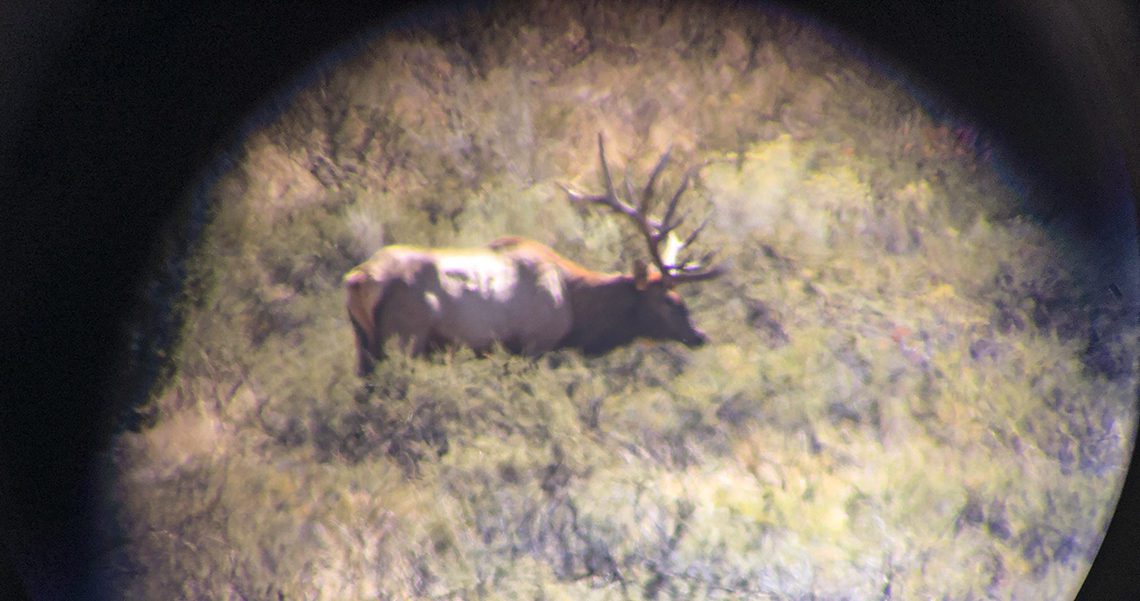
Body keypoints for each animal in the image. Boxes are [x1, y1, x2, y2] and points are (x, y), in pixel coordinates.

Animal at [343, 134, 723, 376]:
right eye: (670, 301)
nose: (700, 336)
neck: (573, 305)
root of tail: (359, 279)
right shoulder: (532, 345)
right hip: (404, 338)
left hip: (364, 345)